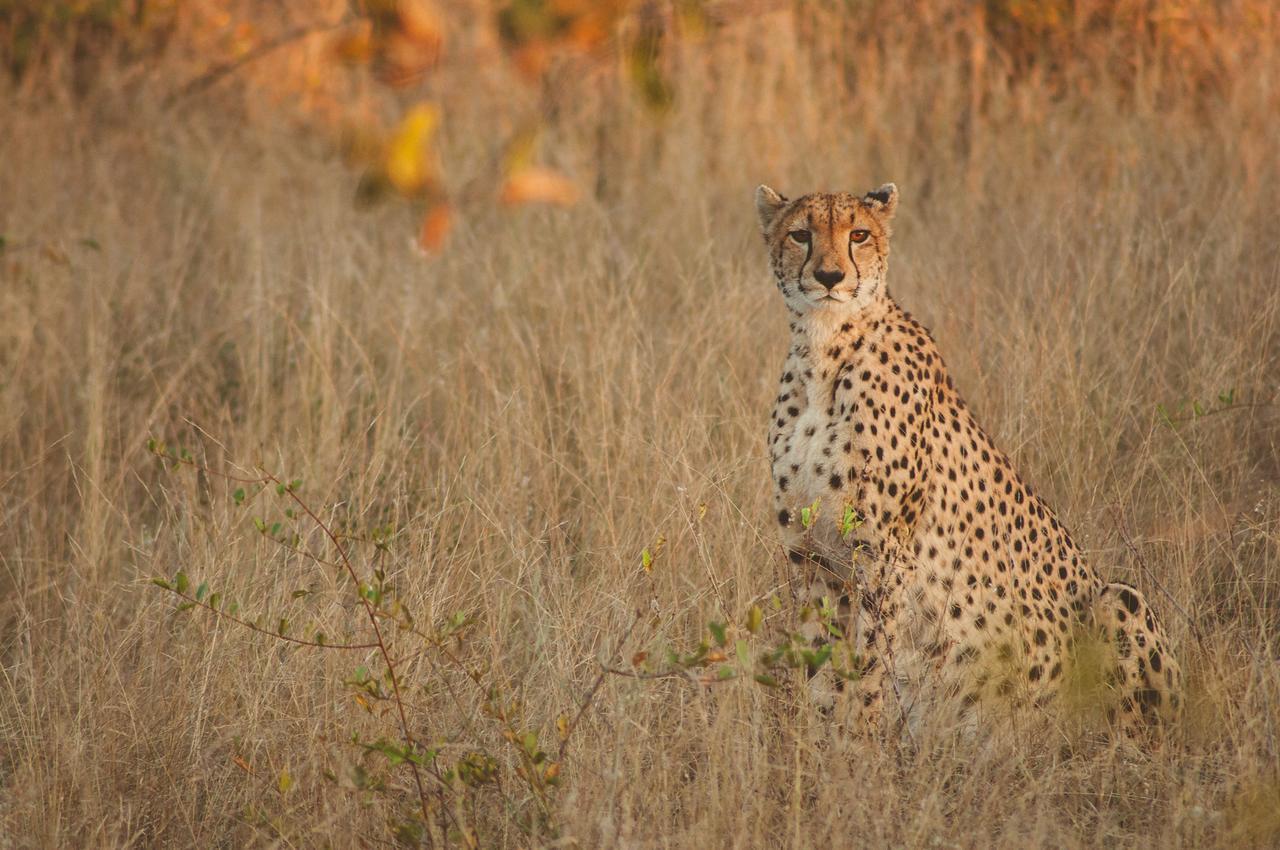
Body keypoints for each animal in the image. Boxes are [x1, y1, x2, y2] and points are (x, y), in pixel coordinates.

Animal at [752, 180, 1182, 732]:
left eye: (859, 234)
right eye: (801, 235)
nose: (830, 277)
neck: (824, 351)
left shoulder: (883, 555)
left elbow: (869, 662)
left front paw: (858, 739)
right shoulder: (810, 555)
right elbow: (817, 662)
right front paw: (814, 737)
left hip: (1120, 600)